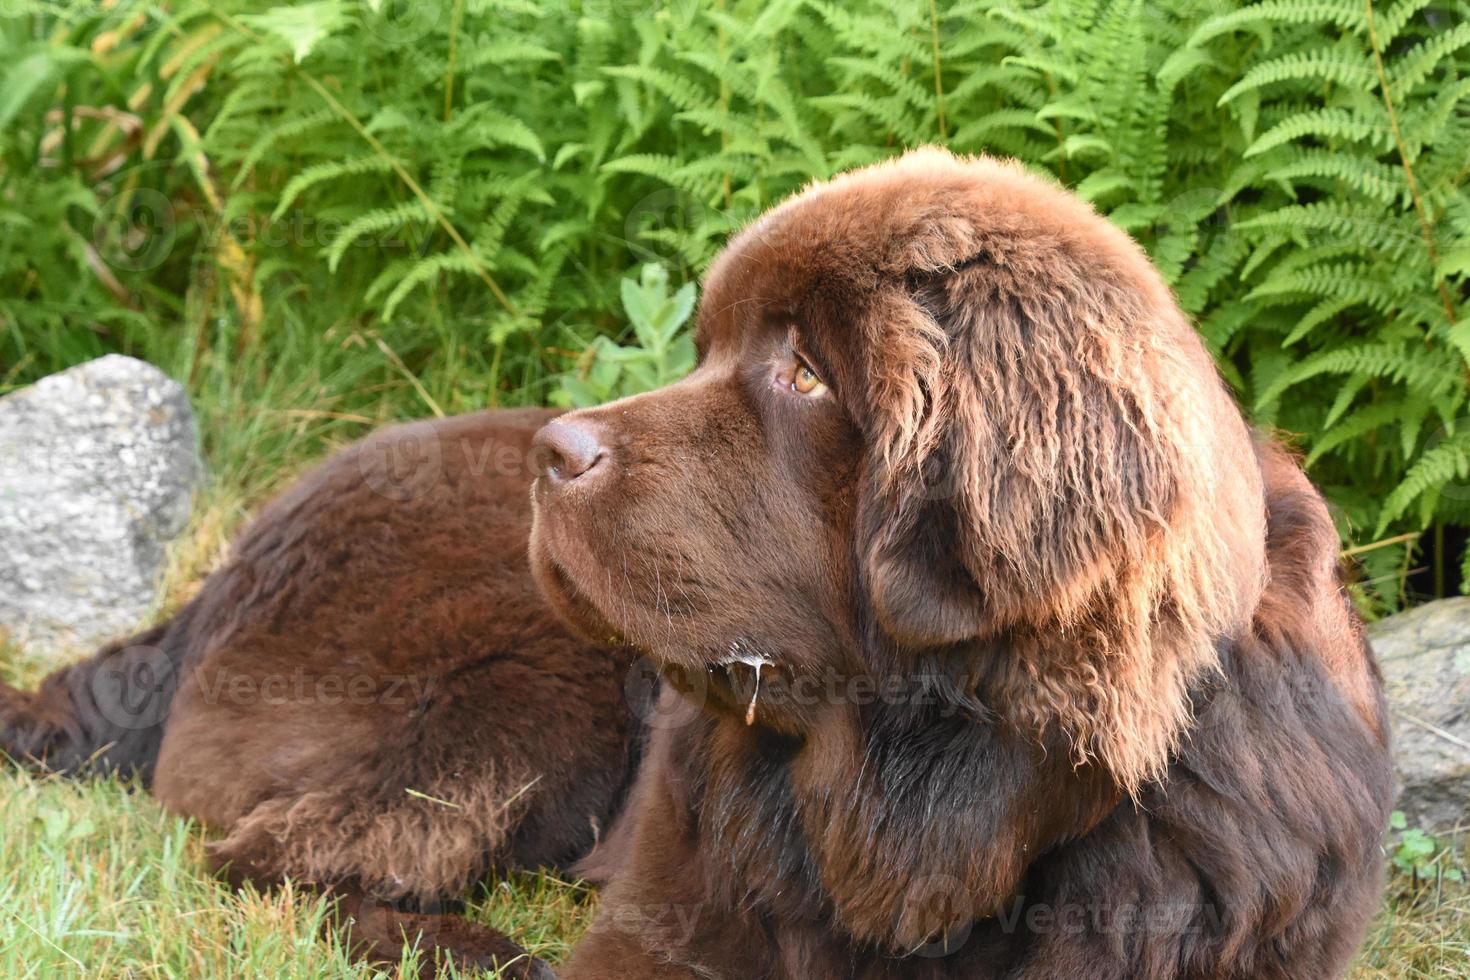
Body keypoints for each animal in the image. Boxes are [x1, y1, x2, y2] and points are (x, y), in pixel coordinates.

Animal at [5, 149, 1393, 975]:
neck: (940, 806)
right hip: (521, 695)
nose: (557, 452)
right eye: (714, 344)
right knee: (268, 858)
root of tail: (223, 568)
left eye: (807, 373)